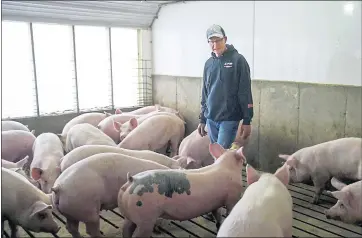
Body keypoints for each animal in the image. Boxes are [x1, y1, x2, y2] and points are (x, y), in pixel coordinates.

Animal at [118, 142, 246, 237]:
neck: (226, 166)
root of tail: (131, 181)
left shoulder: (216, 202)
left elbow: (217, 214)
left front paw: (219, 225)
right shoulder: (233, 197)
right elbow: (229, 211)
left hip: (129, 216)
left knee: (126, 230)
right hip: (145, 218)